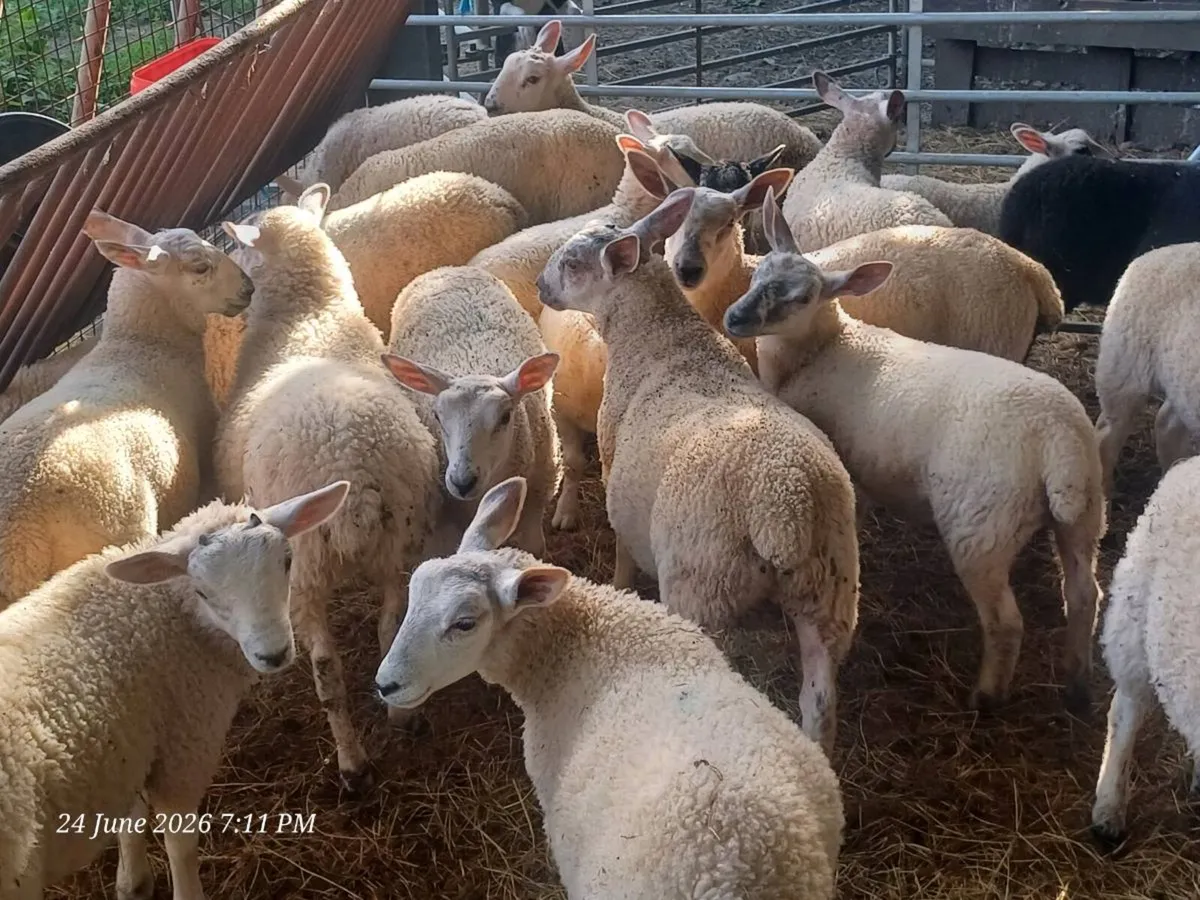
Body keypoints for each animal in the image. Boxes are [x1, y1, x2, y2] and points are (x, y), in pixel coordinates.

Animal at [0, 480, 349, 900]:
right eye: (202, 592)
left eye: (286, 560)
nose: (274, 654)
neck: (167, 610)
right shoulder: (183, 751)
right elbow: (181, 846)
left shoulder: (134, 745)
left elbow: (131, 818)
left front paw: (132, 882)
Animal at [216, 185, 442, 789]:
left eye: (240, 244)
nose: (239, 285)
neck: (310, 313)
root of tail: (354, 473)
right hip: (399, 542)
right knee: (391, 630)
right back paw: (402, 716)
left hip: (305, 568)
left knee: (325, 666)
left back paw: (352, 764)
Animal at [537, 188, 860, 755]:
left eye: (573, 264)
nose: (538, 285)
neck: (663, 338)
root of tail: (785, 505)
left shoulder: (618, 468)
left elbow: (622, 546)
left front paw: (619, 584)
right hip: (831, 595)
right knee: (820, 704)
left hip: (703, 585)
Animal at [723, 187, 1106, 713]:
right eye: (759, 273)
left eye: (801, 298)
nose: (734, 317)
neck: (828, 347)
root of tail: (1058, 442)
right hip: (1084, 516)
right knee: (1085, 594)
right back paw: (1078, 686)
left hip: (981, 529)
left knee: (1006, 622)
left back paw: (986, 697)